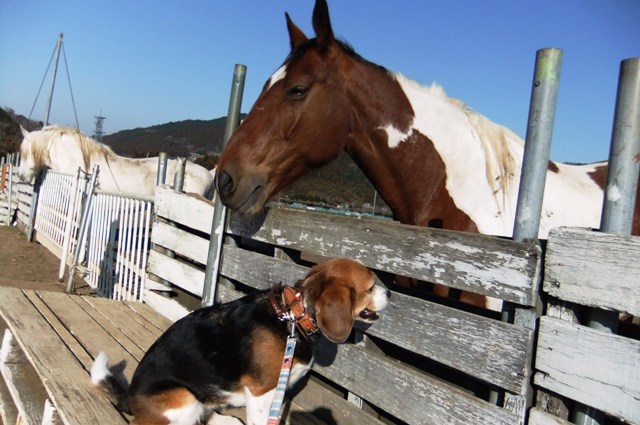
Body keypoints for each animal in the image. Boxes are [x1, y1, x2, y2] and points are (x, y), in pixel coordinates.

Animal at [90, 258, 390, 424]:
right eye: (371, 286)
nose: (390, 294)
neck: (293, 316)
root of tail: (130, 398)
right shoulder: (263, 392)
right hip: (182, 398)